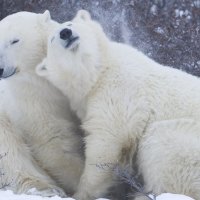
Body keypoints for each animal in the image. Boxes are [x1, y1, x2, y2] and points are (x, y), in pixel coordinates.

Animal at [37, 9, 200, 200]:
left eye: (70, 24)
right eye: (52, 39)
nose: (65, 33)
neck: (98, 72)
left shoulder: (118, 92)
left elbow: (106, 142)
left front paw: (81, 193)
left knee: (160, 141)